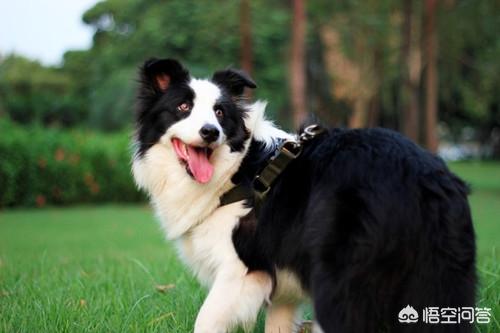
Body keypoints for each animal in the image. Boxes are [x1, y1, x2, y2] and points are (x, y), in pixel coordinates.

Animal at [131, 58, 474, 330]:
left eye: (219, 113)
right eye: (183, 107)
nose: (210, 132)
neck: (236, 173)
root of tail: (422, 177)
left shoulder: (241, 271)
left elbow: (206, 320)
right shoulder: (282, 286)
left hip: (339, 282)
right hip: (439, 277)